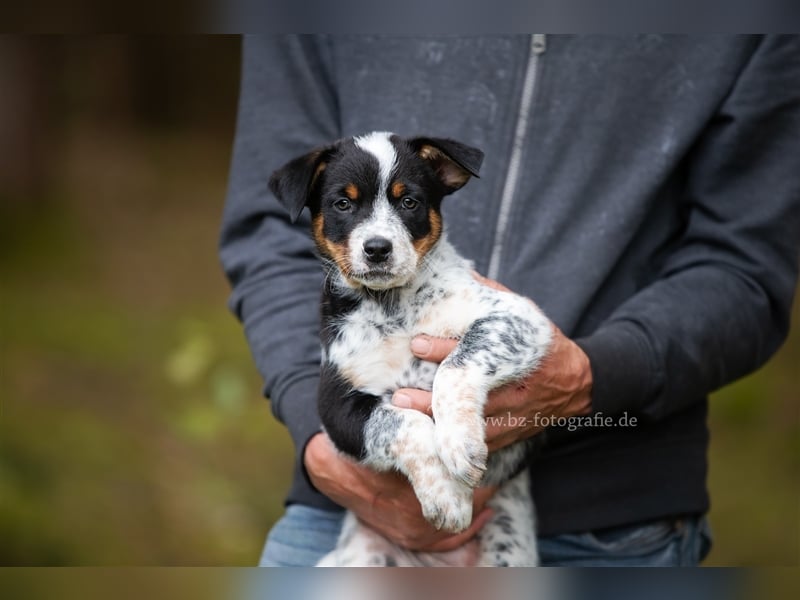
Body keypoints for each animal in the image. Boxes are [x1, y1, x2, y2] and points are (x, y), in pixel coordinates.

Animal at [268, 131, 552, 568]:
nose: (377, 248)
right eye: (343, 203)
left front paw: (459, 444)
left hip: (508, 550)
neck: (393, 309)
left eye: (409, 202)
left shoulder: (518, 317)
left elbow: (456, 365)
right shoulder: (336, 405)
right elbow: (405, 422)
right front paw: (446, 495)